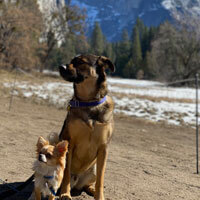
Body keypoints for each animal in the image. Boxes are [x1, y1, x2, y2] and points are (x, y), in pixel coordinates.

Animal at [58, 54, 115, 200]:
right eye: (71, 61)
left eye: (81, 62)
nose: (61, 66)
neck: (88, 103)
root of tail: (77, 180)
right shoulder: (70, 143)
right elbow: (66, 174)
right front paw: (65, 194)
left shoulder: (103, 148)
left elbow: (101, 179)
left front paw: (99, 196)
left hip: (92, 170)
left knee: (87, 185)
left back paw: (91, 190)